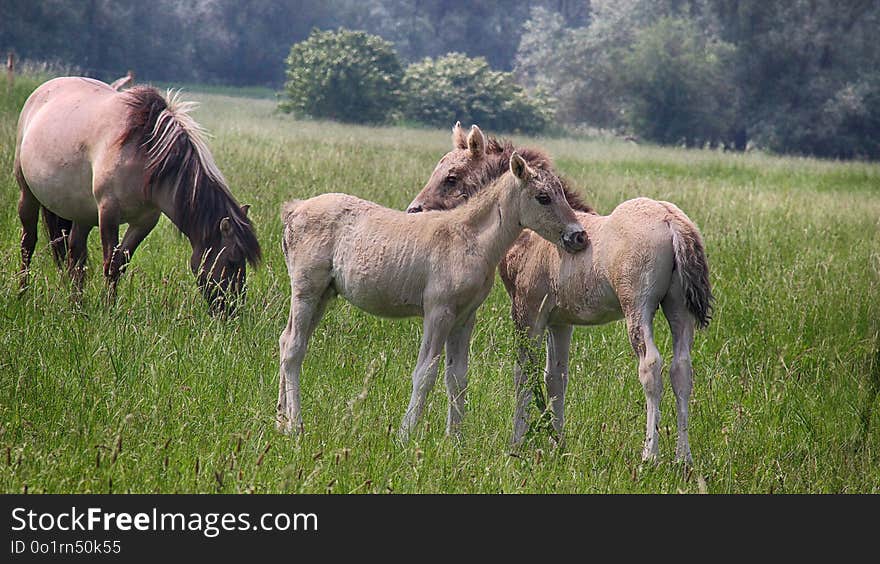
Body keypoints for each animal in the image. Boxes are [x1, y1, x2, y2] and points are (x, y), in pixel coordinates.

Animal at [12, 76, 262, 312]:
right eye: (232, 260)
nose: (232, 310)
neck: (145, 158)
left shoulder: (145, 221)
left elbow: (120, 263)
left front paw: (108, 307)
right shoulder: (108, 212)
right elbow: (110, 263)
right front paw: (107, 309)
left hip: (82, 212)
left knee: (75, 255)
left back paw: (77, 305)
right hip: (28, 195)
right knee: (28, 243)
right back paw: (22, 294)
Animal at [278, 129, 588, 440]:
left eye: (562, 194)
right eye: (543, 197)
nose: (578, 236)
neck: (469, 237)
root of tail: (295, 209)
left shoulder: (465, 317)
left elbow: (457, 376)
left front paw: (456, 440)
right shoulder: (438, 312)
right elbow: (425, 372)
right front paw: (405, 435)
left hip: (324, 295)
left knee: (285, 338)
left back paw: (281, 421)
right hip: (307, 290)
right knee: (294, 347)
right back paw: (296, 426)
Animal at [408, 121, 716, 460]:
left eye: (451, 177)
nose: (414, 210)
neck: (532, 234)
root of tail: (671, 220)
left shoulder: (527, 310)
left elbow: (524, 373)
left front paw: (517, 443)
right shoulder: (560, 321)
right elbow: (556, 377)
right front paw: (557, 443)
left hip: (638, 308)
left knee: (651, 365)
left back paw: (650, 455)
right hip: (678, 309)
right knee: (681, 370)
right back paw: (683, 458)